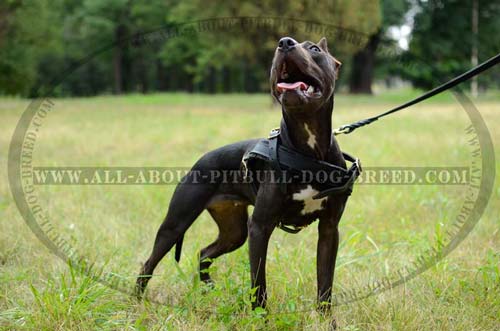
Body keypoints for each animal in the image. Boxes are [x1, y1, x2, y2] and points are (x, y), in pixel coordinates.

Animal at [139, 37, 354, 312]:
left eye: (314, 49)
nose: (285, 42)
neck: (307, 148)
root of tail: (201, 159)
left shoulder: (329, 229)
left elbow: (325, 287)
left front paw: (327, 320)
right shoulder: (259, 226)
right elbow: (258, 284)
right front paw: (260, 317)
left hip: (233, 232)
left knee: (203, 253)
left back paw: (208, 289)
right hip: (177, 223)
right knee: (149, 263)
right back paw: (136, 302)